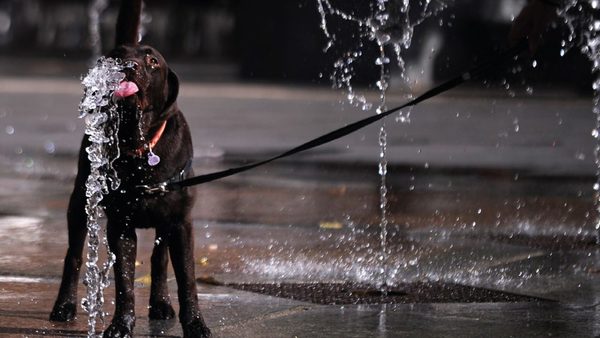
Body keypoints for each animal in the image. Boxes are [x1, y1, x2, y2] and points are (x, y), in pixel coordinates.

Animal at [50, 1, 212, 336]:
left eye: (152, 61)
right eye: (116, 55)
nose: (128, 65)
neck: (139, 144)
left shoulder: (181, 224)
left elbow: (187, 280)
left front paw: (195, 324)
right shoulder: (121, 225)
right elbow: (124, 282)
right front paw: (121, 325)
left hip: (165, 224)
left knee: (159, 259)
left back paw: (161, 303)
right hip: (80, 201)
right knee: (73, 255)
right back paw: (64, 305)